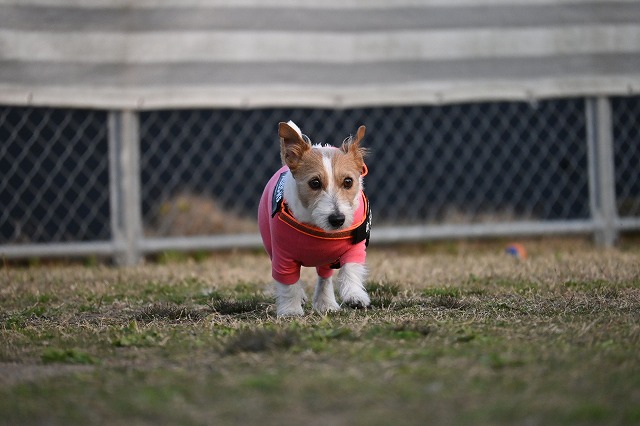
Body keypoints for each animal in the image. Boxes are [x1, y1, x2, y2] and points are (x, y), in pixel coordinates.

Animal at [258, 121, 372, 316]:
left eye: (348, 181)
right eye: (315, 183)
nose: (338, 219)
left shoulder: (355, 247)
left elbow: (350, 270)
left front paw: (355, 296)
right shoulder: (283, 257)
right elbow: (288, 284)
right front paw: (291, 309)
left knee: (324, 277)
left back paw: (326, 302)